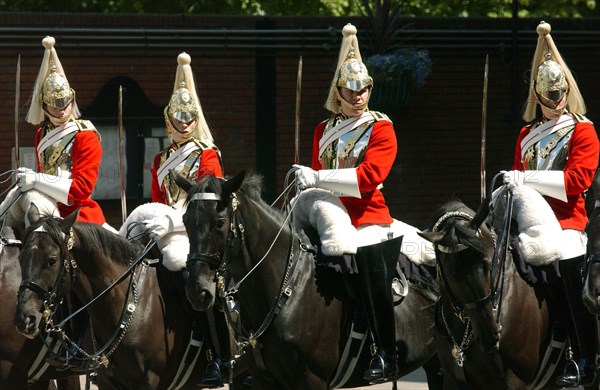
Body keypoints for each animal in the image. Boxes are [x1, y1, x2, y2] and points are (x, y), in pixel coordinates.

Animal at [173, 172, 440, 390]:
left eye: (220, 222)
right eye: (185, 221)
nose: (197, 291)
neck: (288, 288)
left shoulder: (312, 379)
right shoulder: (263, 381)